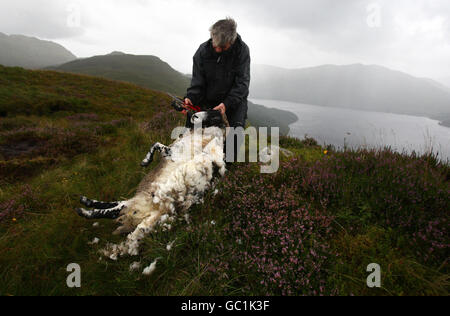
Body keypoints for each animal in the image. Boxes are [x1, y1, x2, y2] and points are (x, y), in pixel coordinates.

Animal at [76, 110, 229, 260]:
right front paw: (146, 161)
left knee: (114, 210)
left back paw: (84, 210)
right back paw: (86, 201)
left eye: (214, 115)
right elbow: (156, 145)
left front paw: (145, 161)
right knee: (114, 205)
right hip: (139, 204)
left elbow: (155, 144)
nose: (194, 116)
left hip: (135, 204)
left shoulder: (172, 153)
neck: (203, 134)